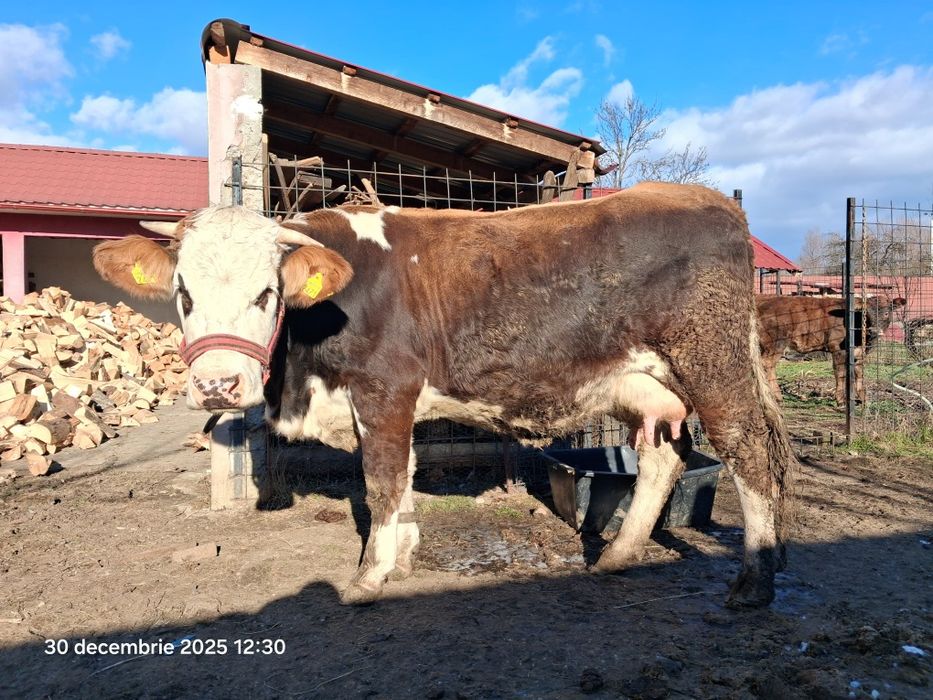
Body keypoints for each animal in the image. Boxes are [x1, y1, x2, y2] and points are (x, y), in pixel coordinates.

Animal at [92, 182, 795, 608]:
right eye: (182, 293)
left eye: (268, 293)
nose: (218, 385)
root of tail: (710, 199)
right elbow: (401, 476)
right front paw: (401, 556)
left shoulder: (384, 389)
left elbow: (380, 481)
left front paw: (368, 577)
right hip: (645, 385)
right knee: (662, 457)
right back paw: (618, 555)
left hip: (713, 363)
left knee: (750, 455)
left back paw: (755, 581)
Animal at [756, 295, 906, 405]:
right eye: (866, 314)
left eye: (886, 313)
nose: (873, 330)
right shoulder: (838, 349)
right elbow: (840, 374)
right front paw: (840, 401)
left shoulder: (858, 353)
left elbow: (859, 375)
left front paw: (863, 399)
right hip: (776, 343)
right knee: (767, 364)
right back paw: (776, 397)